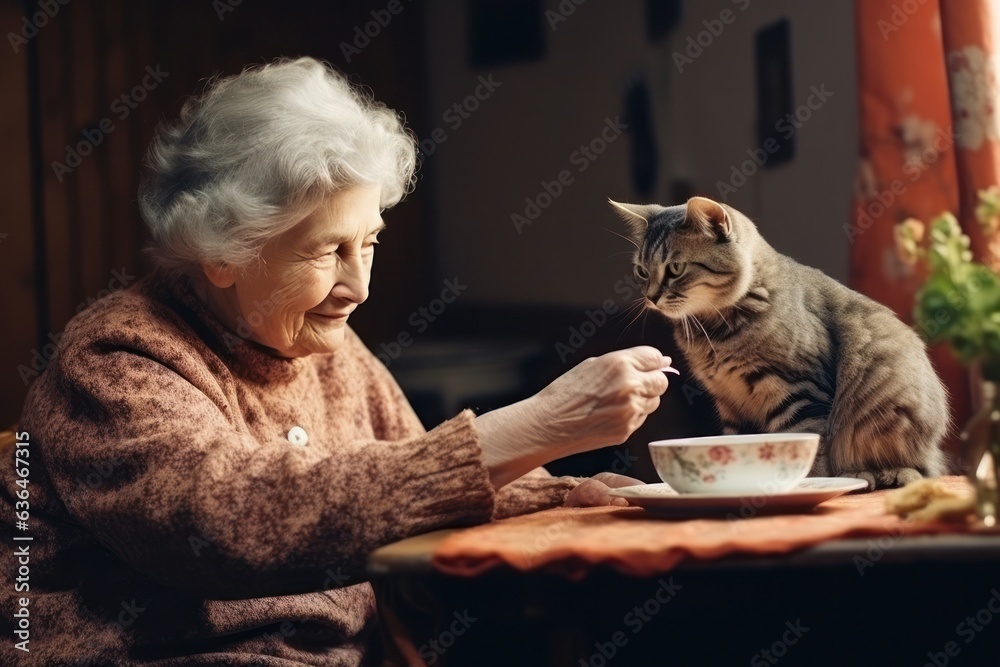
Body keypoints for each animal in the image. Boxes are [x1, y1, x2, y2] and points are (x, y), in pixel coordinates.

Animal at [612, 196, 948, 488]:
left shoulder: (799, 393)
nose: (651, 297)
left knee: (918, 470)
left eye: (675, 268)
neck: (715, 332)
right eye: (641, 271)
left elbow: (813, 460)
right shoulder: (732, 406)